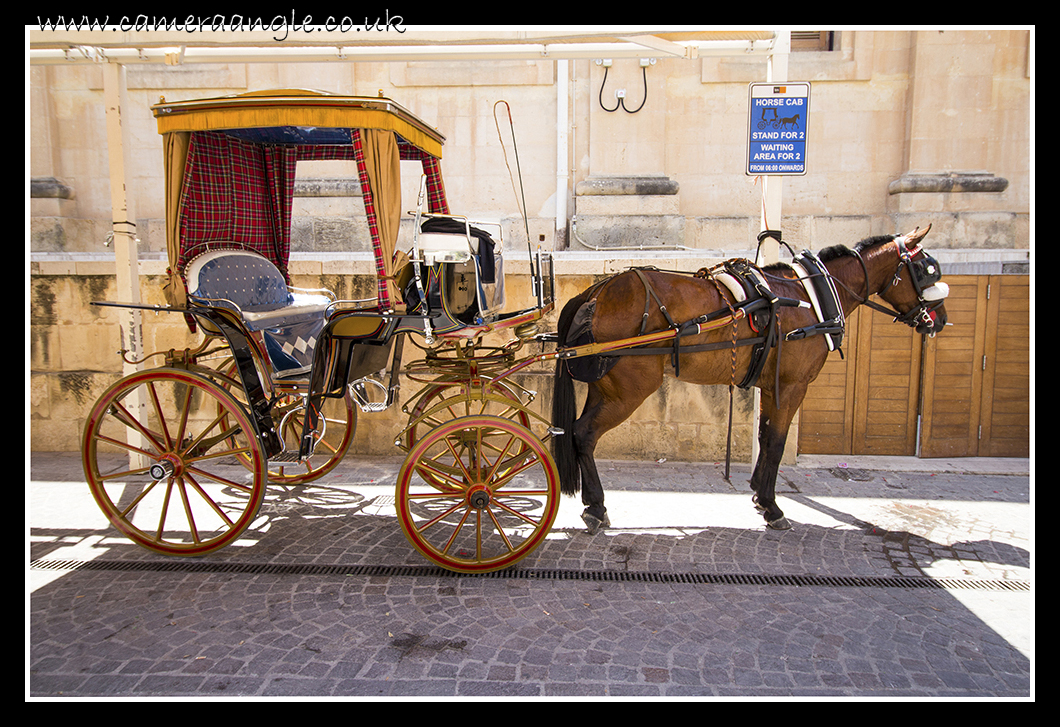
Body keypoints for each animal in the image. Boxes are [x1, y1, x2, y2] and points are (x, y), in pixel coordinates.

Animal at [551, 224, 949, 532]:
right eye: (928, 270)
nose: (941, 320)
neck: (811, 296)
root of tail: (597, 290)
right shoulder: (792, 385)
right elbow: (776, 441)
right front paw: (772, 507)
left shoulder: (772, 386)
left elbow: (764, 435)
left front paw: (759, 493)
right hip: (629, 389)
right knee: (584, 433)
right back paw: (597, 507)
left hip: (606, 387)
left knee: (579, 432)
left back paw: (592, 504)